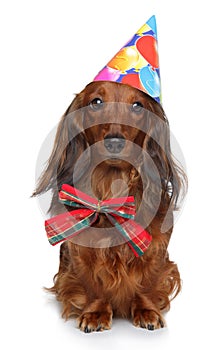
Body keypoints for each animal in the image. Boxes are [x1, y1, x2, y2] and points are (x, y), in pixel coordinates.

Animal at [34, 80, 186, 332]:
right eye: (96, 102)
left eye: (137, 105)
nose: (114, 142)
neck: (111, 193)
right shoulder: (80, 252)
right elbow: (93, 284)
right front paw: (96, 313)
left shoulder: (155, 246)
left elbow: (147, 281)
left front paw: (147, 310)